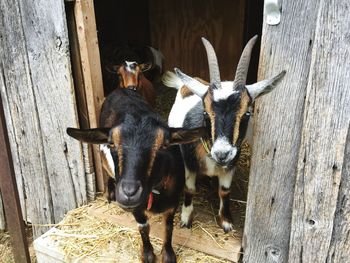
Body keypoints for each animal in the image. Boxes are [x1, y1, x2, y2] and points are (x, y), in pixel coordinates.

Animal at [67, 86, 204, 262]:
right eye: (112, 143)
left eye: (164, 145)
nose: (129, 193)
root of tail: (121, 89)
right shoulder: (136, 208)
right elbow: (143, 227)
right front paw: (148, 254)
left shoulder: (172, 203)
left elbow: (168, 228)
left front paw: (167, 255)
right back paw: (109, 193)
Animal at [163, 35, 286, 233]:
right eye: (205, 113)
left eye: (247, 113)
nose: (222, 153)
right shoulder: (189, 162)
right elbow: (189, 189)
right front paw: (186, 218)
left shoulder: (231, 165)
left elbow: (225, 191)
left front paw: (226, 221)